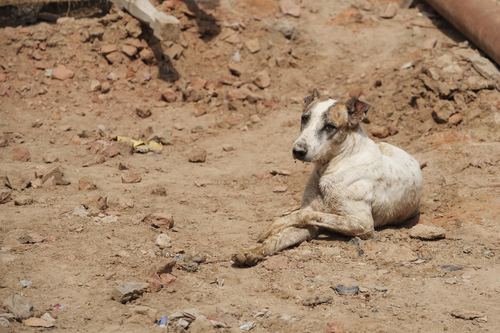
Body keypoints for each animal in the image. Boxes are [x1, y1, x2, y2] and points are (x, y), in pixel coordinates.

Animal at [231, 87, 422, 264]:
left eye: (330, 126)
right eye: (304, 118)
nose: (298, 151)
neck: (331, 166)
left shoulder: (362, 224)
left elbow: (301, 215)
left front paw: (273, 227)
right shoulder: (312, 223)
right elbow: (281, 236)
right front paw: (253, 252)